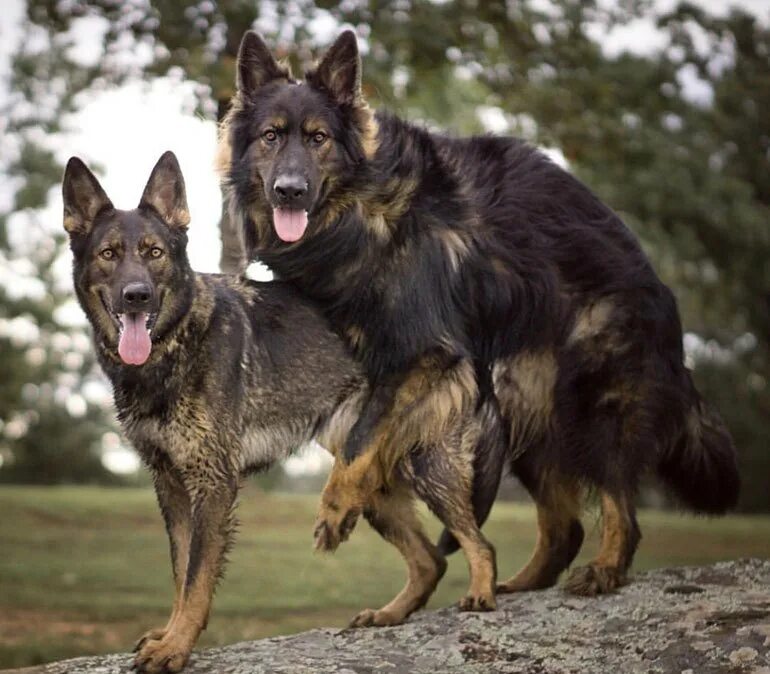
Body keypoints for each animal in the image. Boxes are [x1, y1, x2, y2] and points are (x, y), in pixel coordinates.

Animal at [61, 152, 504, 672]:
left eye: (154, 253)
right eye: (109, 254)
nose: (137, 295)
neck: (175, 345)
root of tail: (444, 327)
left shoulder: (212, 484)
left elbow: (196, 577)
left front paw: (176, 647)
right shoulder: (170, 484)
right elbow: (180, 570)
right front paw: (170, 635)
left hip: (423, 468)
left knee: (478, 542)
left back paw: (481, 595)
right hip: (366, 484)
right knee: (429, 560)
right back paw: (389, 616)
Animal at [216, 30, 736, 600]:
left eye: (318, 139)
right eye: (270, 136)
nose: (289, 190)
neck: (362, 206)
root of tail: (665, 300)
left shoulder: (423, 355)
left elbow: (362, 437)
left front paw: (336, 509)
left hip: (595, 407)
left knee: (621, 506)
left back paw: (605, 569)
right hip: (526, 415)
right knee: (564, 527)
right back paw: (513, 587)